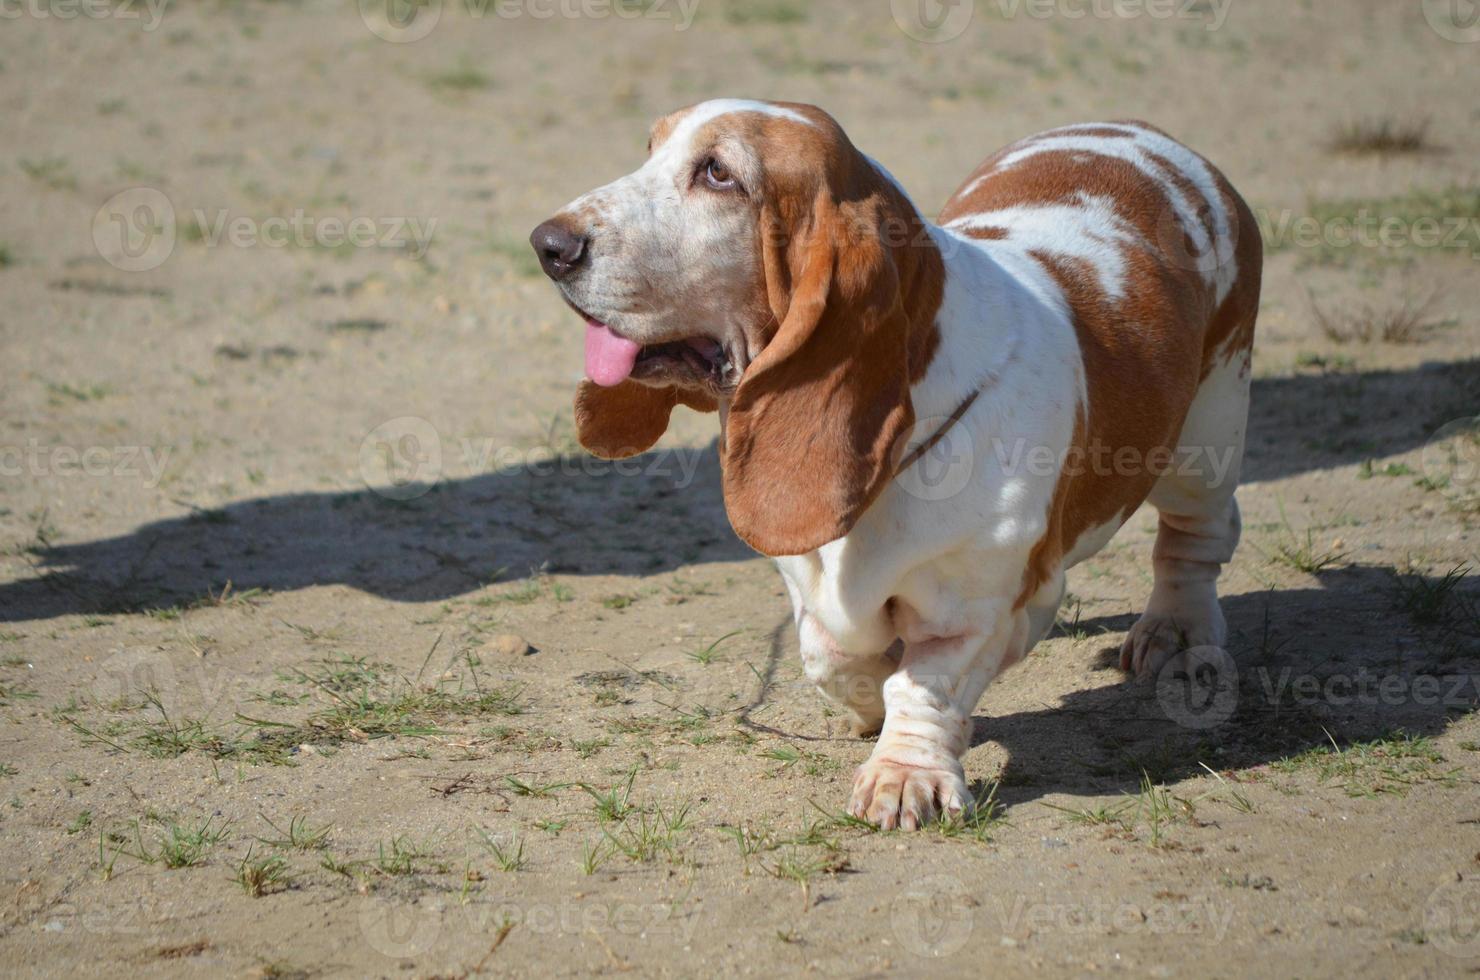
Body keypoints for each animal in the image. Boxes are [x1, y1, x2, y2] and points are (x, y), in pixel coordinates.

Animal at [532, 97, 1260, 829]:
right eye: (651, 148)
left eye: (718, 173)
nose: (548, 245)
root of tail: (1147, 132)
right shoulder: (809, 583)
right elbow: (829, 654)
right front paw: (868, 706)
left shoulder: (970, 606)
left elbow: (924, 686)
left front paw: (907, 774)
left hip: (1206, 432)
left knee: (1196, 540)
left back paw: (1176, 631)